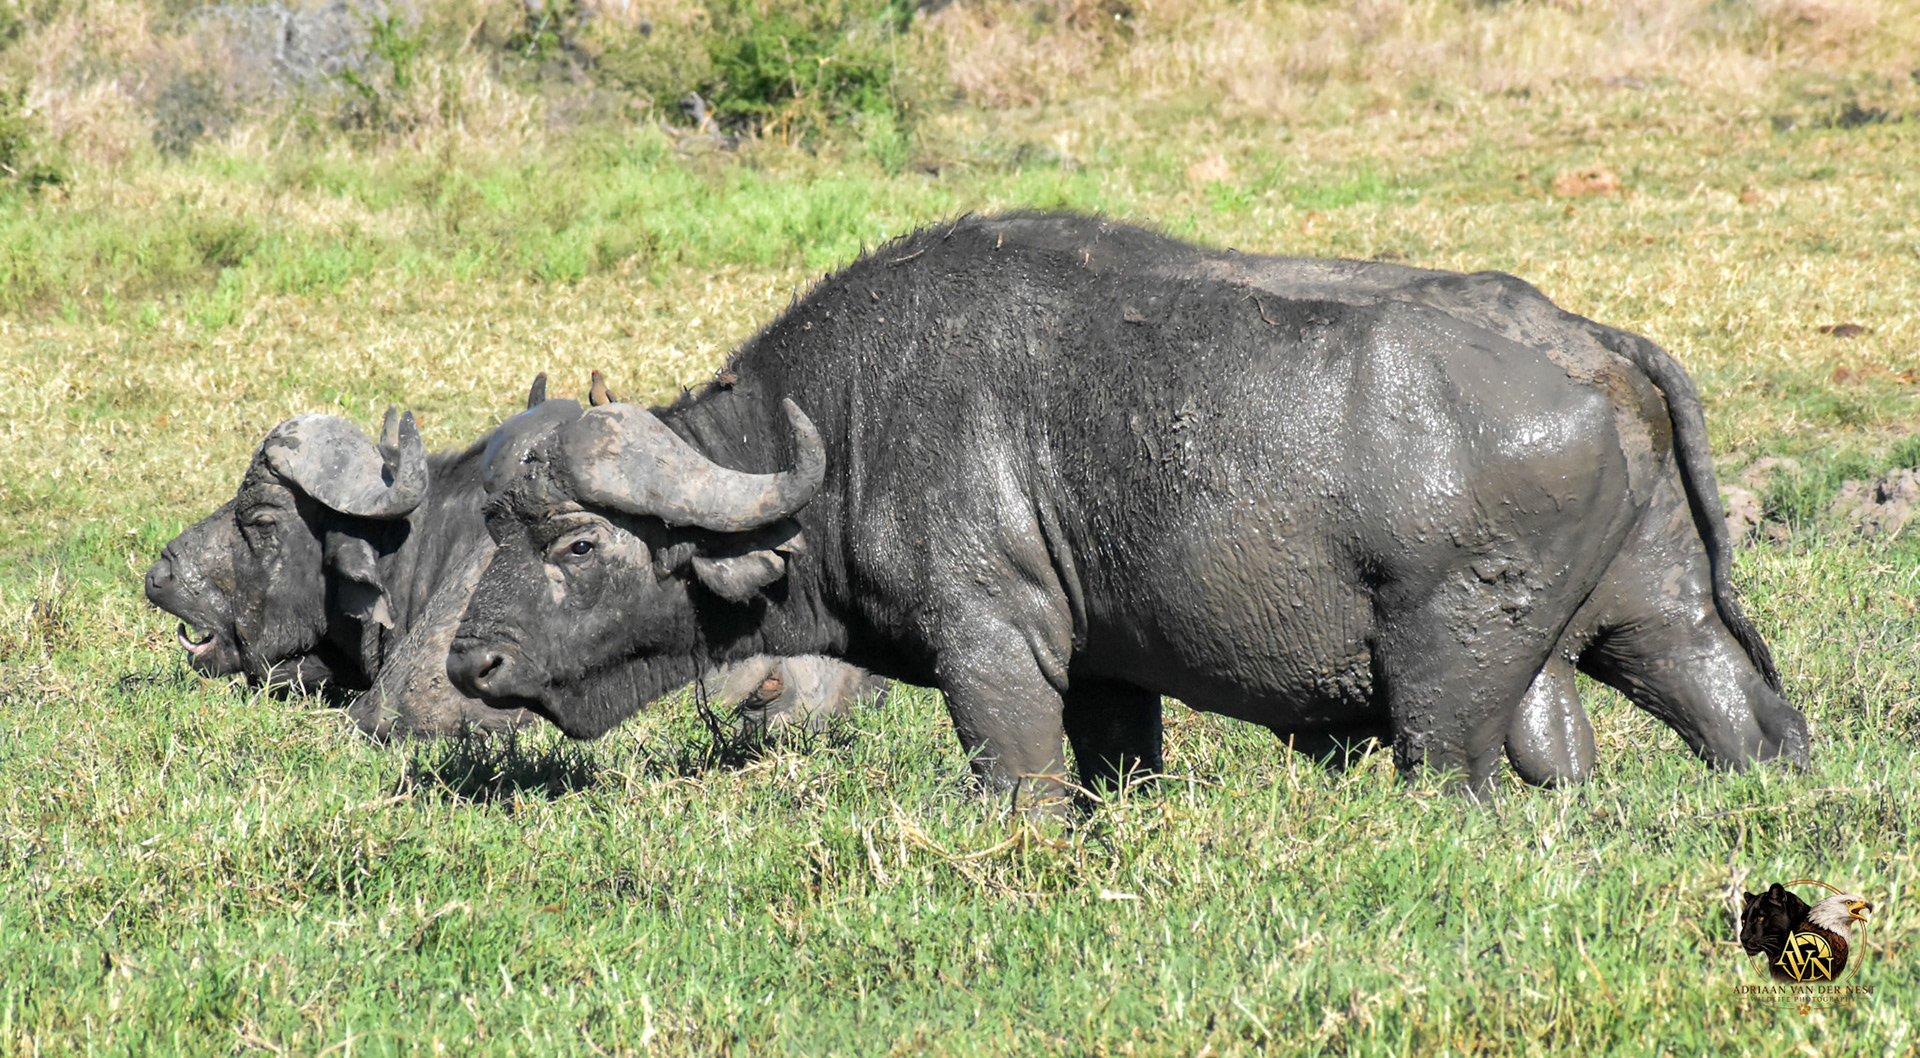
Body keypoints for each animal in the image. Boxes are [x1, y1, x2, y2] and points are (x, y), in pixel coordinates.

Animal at [448, 212, 1809, 801]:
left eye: (575, 539)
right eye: (496, 530)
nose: (473, 660)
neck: (842, 429)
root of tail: (1588, 342)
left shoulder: (992, 643)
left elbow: (1022, 779)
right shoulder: (1110, 672)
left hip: (1449, 676)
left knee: (1460, 772)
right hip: (1654, 614)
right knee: (1738, 717)